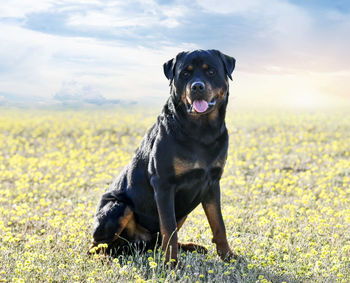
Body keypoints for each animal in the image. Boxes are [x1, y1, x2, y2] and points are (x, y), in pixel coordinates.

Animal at [91, 50, 235, 266]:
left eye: (211, 71)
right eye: (185, 73)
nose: (197, 86)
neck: (201, 130)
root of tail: (138, 246)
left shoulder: (212, 182)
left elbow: (218, 223)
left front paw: (228, 256)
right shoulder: (164, 184)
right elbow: (169, 229)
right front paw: (171, 264)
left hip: (181, 212)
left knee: (156, 242)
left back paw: (191, 246)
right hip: (118, 207)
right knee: (97, 246)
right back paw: (105, 259)